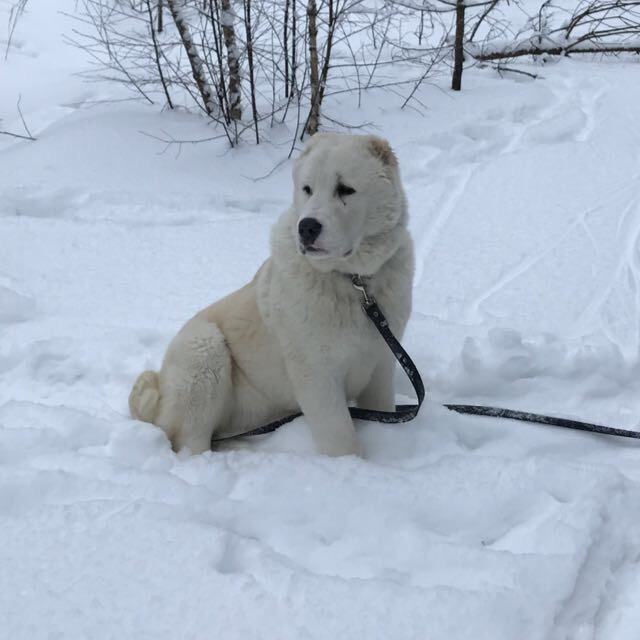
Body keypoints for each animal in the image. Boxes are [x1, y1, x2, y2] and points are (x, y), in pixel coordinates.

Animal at [128, 133, 414, 456]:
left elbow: (382, 407)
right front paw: (350, 466)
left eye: (345, 189)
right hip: (204, 350)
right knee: (191, 442)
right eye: (307, 189)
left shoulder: (381, 364)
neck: (354, 283)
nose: (307, 227)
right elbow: (341, 438)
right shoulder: (317, 375)